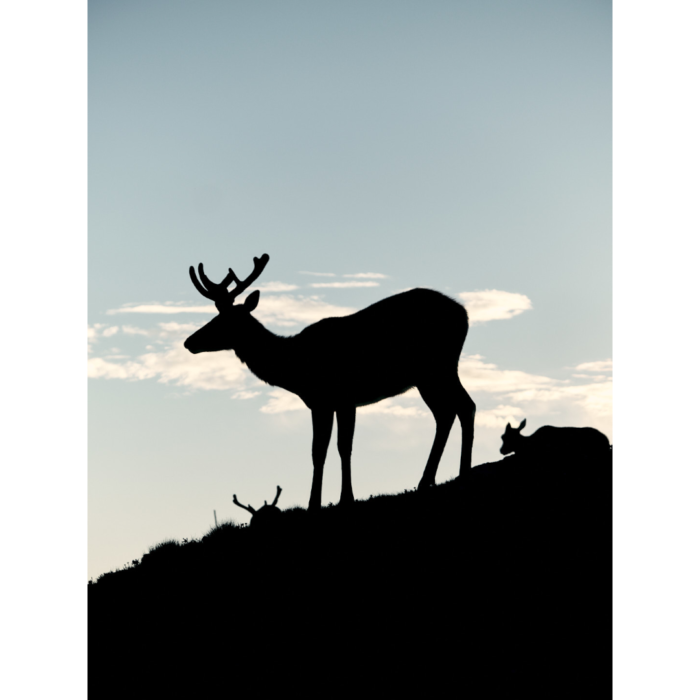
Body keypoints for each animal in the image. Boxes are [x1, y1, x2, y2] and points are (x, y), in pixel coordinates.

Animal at [185, 254, 477, 512]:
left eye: (224, 320)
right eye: (214, 316)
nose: (189, 342)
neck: (296, 368)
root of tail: (464, 314)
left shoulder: (341, 397)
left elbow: (339, 448)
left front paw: (339, 499)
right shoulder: (323, 402)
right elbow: (321, 450)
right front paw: (322, 501)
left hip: (438, 366)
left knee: (464, 407)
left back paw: (462, 474)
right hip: (429, 375)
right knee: (446, 413)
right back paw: (428, 480)